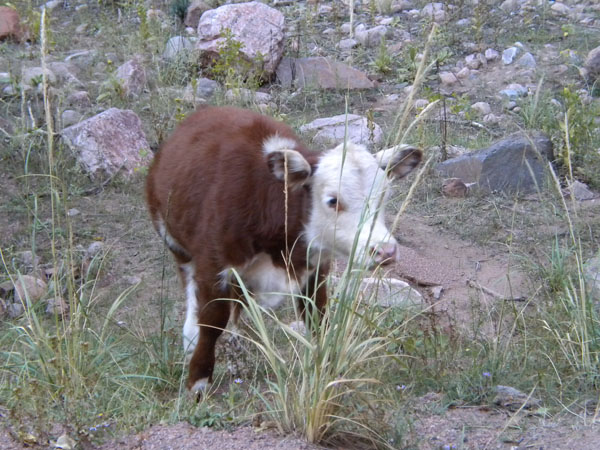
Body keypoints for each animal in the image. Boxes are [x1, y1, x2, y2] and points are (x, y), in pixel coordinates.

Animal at [145, 106, 422, 393]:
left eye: (384, 195)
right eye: (332, 200)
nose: (385, 251)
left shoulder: (314, 268)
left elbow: (317, 317)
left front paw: (325, 370)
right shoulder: (213, 264)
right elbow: (212, 321)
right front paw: (198, 382)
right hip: (177, 245)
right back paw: (191, 339)